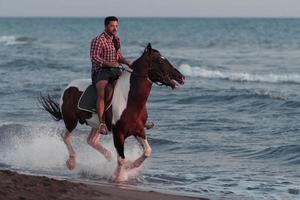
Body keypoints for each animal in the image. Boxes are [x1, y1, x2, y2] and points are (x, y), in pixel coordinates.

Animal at [39, 43, 185, 181]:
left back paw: (108, 157)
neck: (129, 101)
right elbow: (121, 158)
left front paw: (129, 166)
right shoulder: (119, 133)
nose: (181, 77)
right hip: (71, 121)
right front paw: (118, 177)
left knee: (91, 140)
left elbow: (147, 151)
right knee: (66, 136)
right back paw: (71, 162)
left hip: (97, 125)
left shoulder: (138, 130)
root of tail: (69, 87)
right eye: (159, 61)